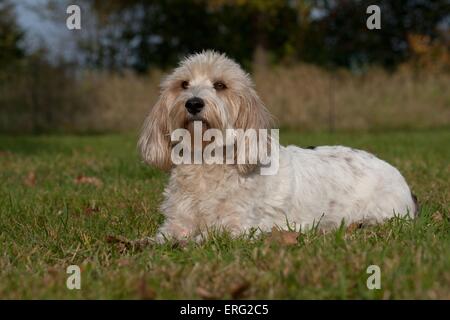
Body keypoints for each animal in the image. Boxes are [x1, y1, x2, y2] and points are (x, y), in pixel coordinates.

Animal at [138, 51, 418, 244]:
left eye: (220, 85)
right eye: (183, 84)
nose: (193, 103)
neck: (206, 159)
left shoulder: (240, 226)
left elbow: (206, 237)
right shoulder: (177, 222)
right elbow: (163, 237)